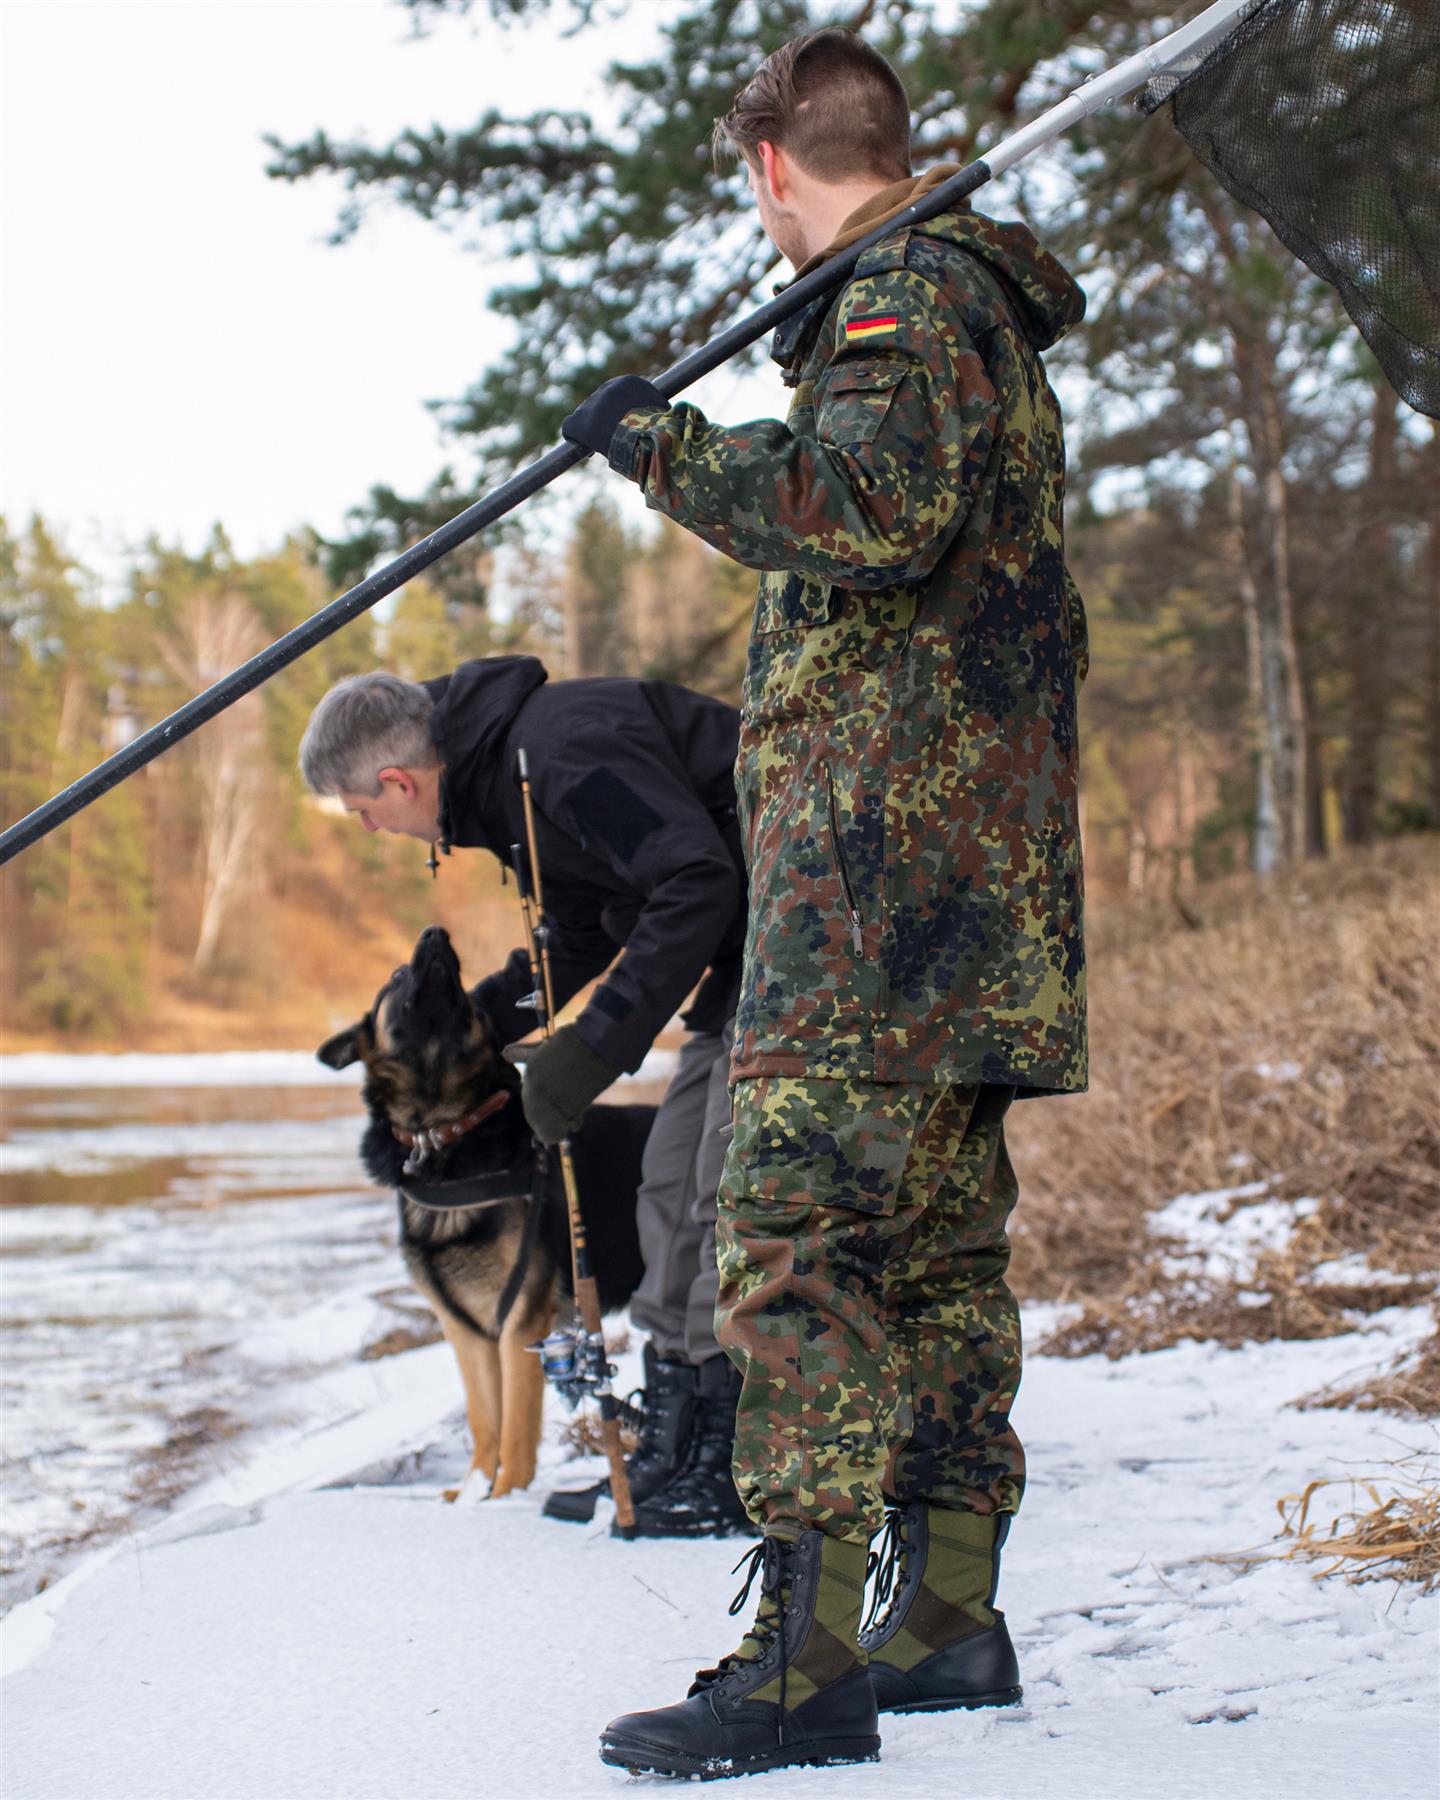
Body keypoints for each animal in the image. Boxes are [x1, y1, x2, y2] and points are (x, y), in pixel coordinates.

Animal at [322, 921, 651, 1497]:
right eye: (397, 975)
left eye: (469, 999)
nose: (435, 932)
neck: (442, 1134)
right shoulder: (467, 1331)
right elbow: (485, 1418)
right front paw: (474, 1492)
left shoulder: (524, 1323)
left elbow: (516, 1426)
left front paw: (505, 1497)